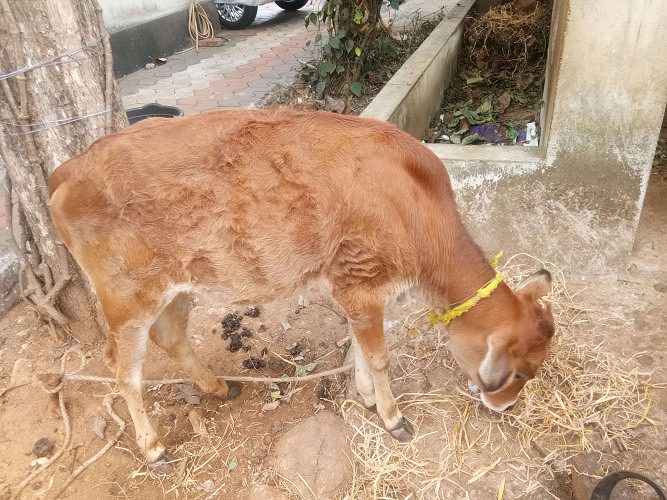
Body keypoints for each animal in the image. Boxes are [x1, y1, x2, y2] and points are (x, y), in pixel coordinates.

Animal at [48, 108, 554, 465]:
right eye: (519, 374)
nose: (505, 407)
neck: (417, 208)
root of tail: (67, 169)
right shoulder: (363, 285)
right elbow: (379, 356)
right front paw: (392, 418)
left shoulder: (354, 288)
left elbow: (359, 347)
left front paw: (366, 397)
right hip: (126, 300)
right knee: (123, 369)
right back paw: (154, 448)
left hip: (178, 288)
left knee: (170, 337)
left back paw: (218, 388)